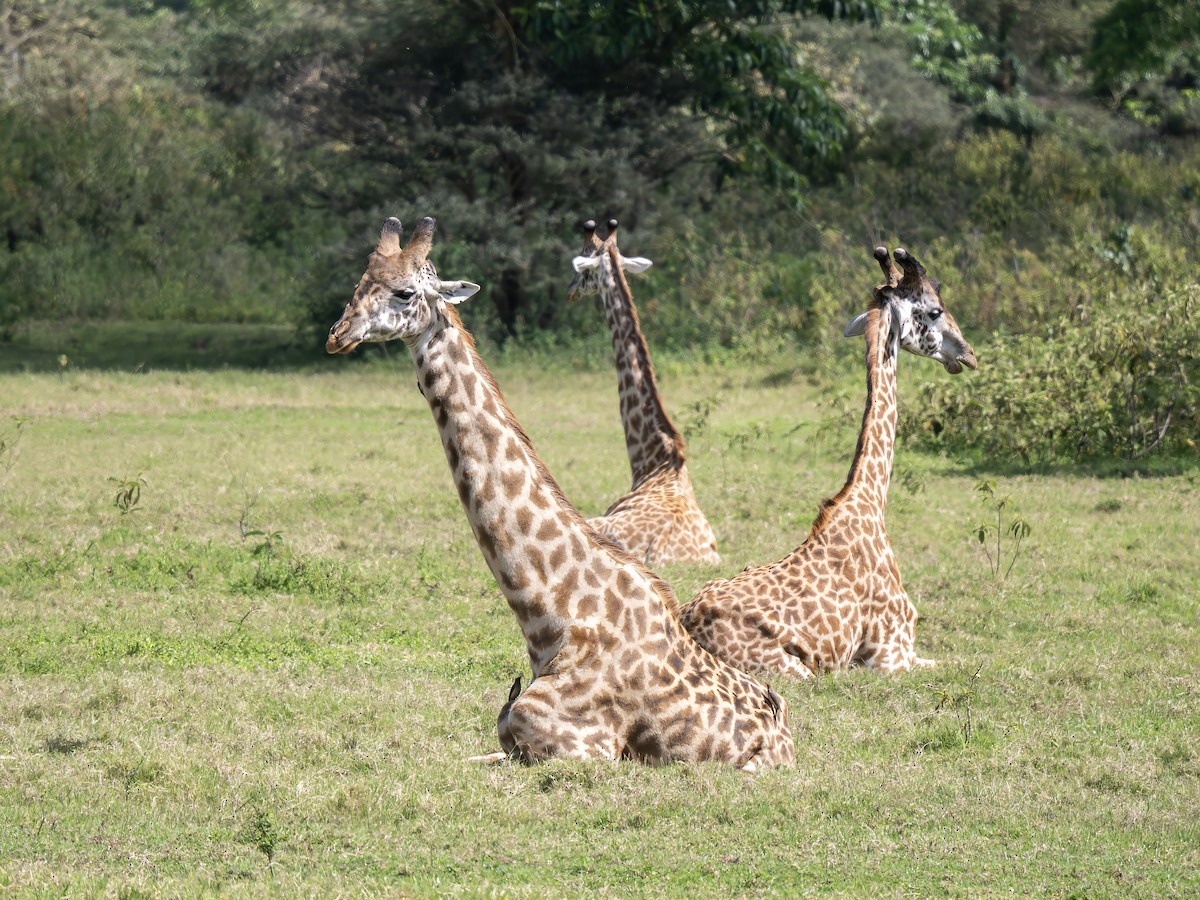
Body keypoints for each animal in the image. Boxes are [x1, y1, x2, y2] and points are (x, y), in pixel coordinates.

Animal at [679, 246, 977, 678]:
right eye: (935, 310)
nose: (968, 355)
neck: (871, 502)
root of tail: (686, 626)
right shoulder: (891, 656)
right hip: (794, 669)